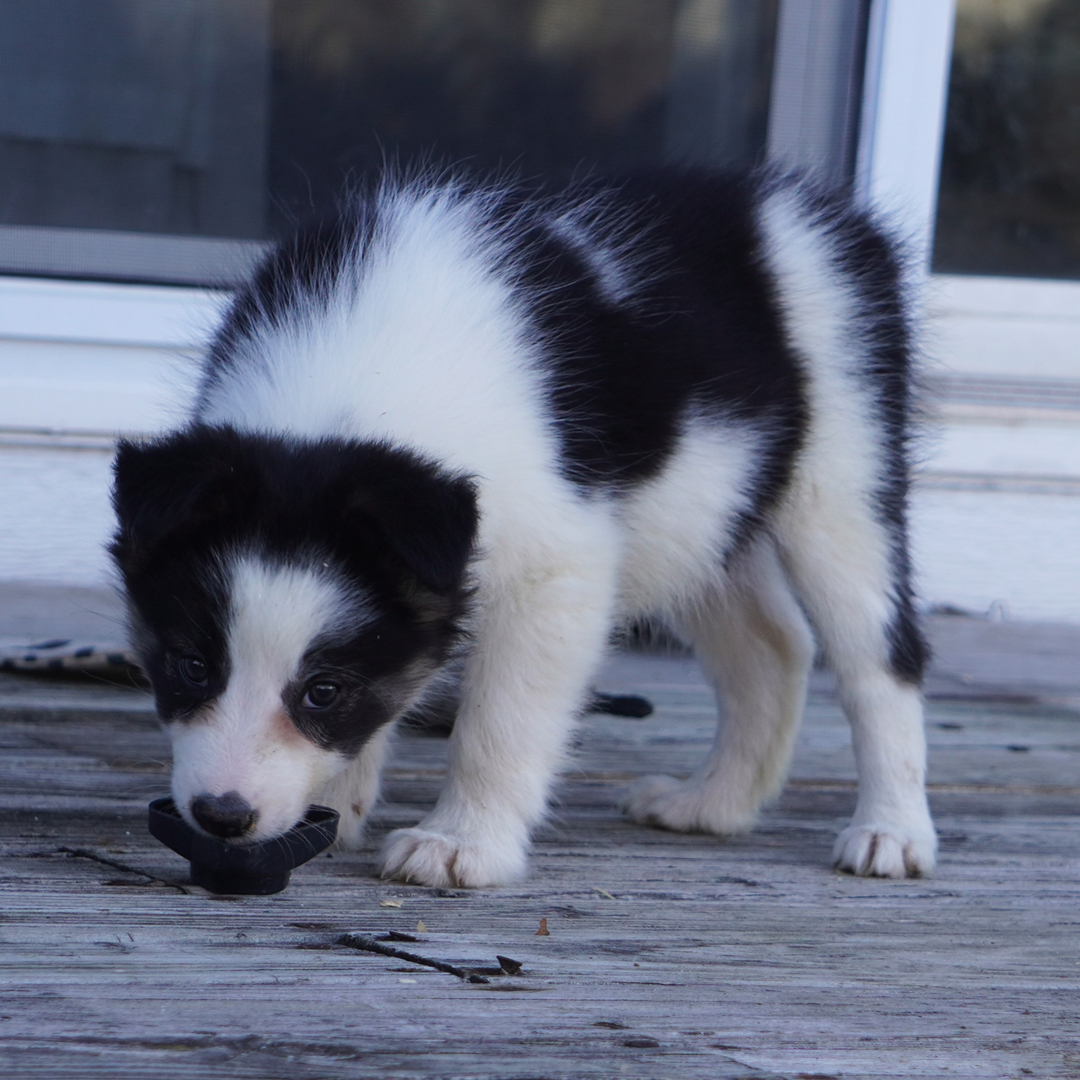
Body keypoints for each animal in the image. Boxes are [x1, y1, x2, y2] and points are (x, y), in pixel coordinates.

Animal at [111, 168, 937, 885]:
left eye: (323, 691)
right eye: (190, 665)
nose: (222, 817)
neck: (349, 398)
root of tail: (824, 213)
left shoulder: (559, 566)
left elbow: (500, 722)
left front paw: (461, 842)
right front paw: (337, 805)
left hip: (842, 482)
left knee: (878, 662)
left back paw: (892, 829)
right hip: (701, 514)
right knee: (771, 648)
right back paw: (713, 804)